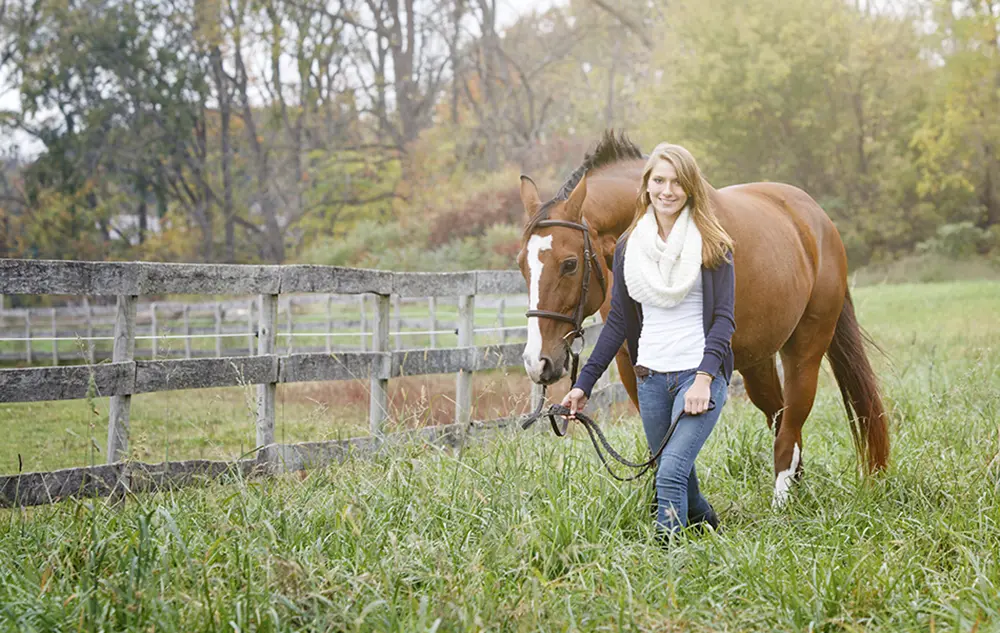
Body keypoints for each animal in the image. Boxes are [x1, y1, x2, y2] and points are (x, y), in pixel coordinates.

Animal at [516, 131, 889, 503]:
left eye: (569, 264)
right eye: (522, 264)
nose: (538, 362)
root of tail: (817, 220)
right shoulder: (630, 363)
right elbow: (659, 448)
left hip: (804, 351)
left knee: (790, 428)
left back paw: (782, 505)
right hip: (758, 362)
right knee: (781, 420)